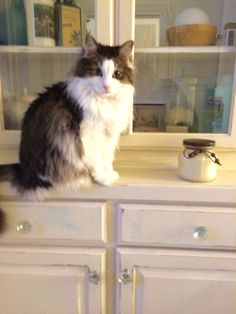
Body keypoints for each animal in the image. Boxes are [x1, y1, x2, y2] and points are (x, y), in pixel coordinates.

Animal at [0, 35, 135, 232]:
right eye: (97, 71)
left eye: (116, 74)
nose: (106, 86)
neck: (103, 103)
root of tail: (22, 167)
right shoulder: (88, 135)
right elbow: (96, 161)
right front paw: (103, 178)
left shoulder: (108, 136)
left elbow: (107, 158)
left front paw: (110, 173)